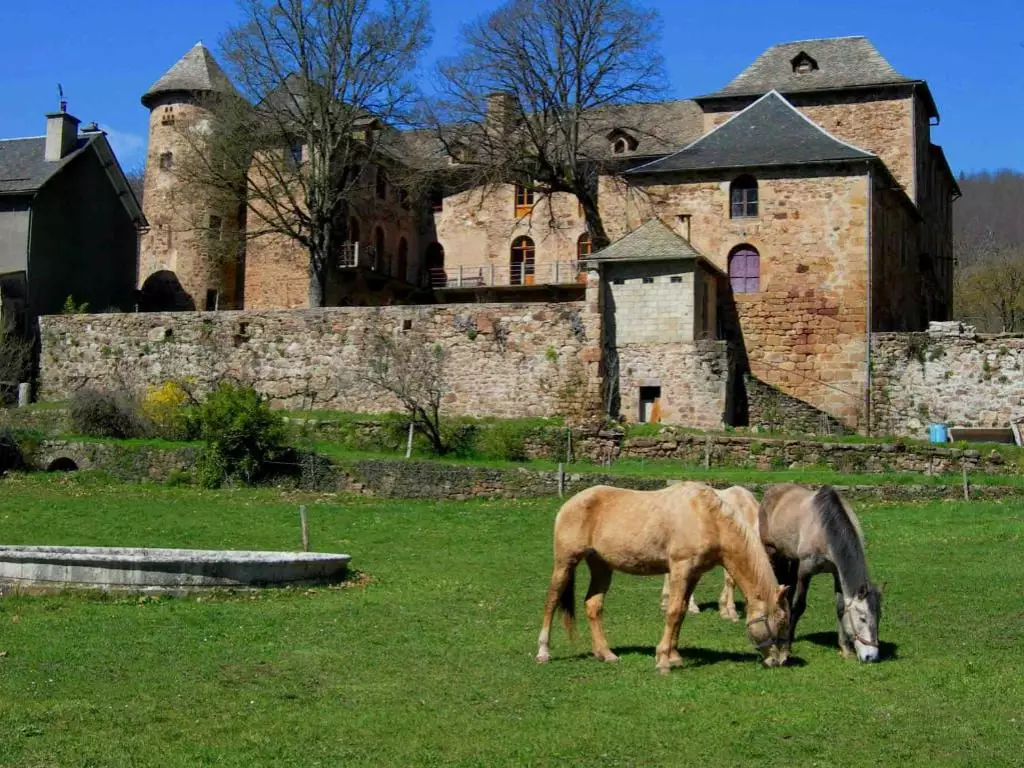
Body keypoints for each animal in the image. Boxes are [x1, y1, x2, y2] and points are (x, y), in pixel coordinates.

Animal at [761, 487, 880, 663]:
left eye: (879, 617)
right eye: (862, 618)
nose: (871, 656)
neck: (825, 531)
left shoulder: (837, 574)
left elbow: (840, 608)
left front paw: (846, 649)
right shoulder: (805, 571)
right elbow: (799, 606)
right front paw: (787, 648)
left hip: (792, 558)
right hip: (773, 552)